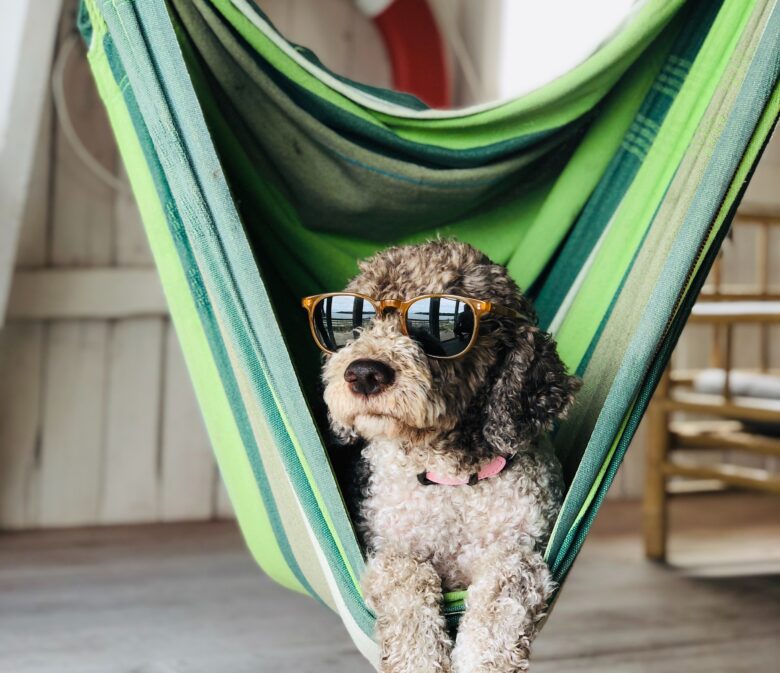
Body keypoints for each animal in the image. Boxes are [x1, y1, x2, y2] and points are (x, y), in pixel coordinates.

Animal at [304, 242, 580, 672]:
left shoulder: (521, 554)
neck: (450, 481)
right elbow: (408, 579)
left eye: (442, 328)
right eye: (355, 322)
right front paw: (418, 658)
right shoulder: (388, 551)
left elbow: (499, 603)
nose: (363, 373)